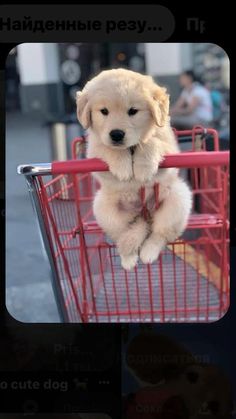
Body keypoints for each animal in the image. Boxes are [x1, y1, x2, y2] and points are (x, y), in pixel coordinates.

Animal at [76, 68, 193, 272]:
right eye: (104, 111)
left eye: (133, 111)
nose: (116, 134)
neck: (130, 148)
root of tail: (143, 214)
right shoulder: (94, 151)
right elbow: (108, 148)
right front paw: (123, 167)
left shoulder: (170, 149)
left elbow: (150, 142)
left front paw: (143, 168)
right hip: (104, 209)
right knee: (124, 235)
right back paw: (128, 258)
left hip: (177, 199)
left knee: (160, 234)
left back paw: (148, 252)